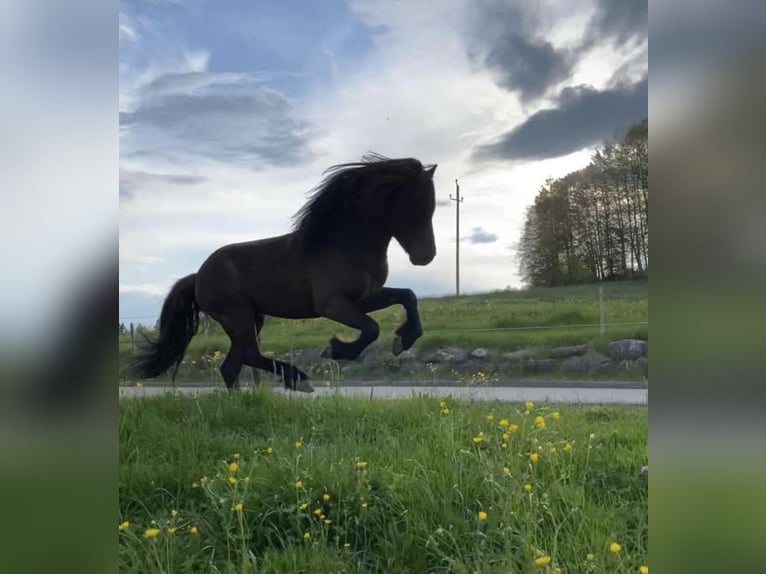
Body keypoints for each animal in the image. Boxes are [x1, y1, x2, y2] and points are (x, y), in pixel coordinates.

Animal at [132, 154, 438, 392]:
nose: (426, 257)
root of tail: (197, 277)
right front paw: (336, 349)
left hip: (252, 318)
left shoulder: (365, 297)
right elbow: (372, 328)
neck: (345, 244)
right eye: (413, 206)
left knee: (233, 364)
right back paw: (299, 380)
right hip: (238, 316)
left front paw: (403, 340)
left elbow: (407, 296)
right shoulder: (333, 305)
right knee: (248, 355)